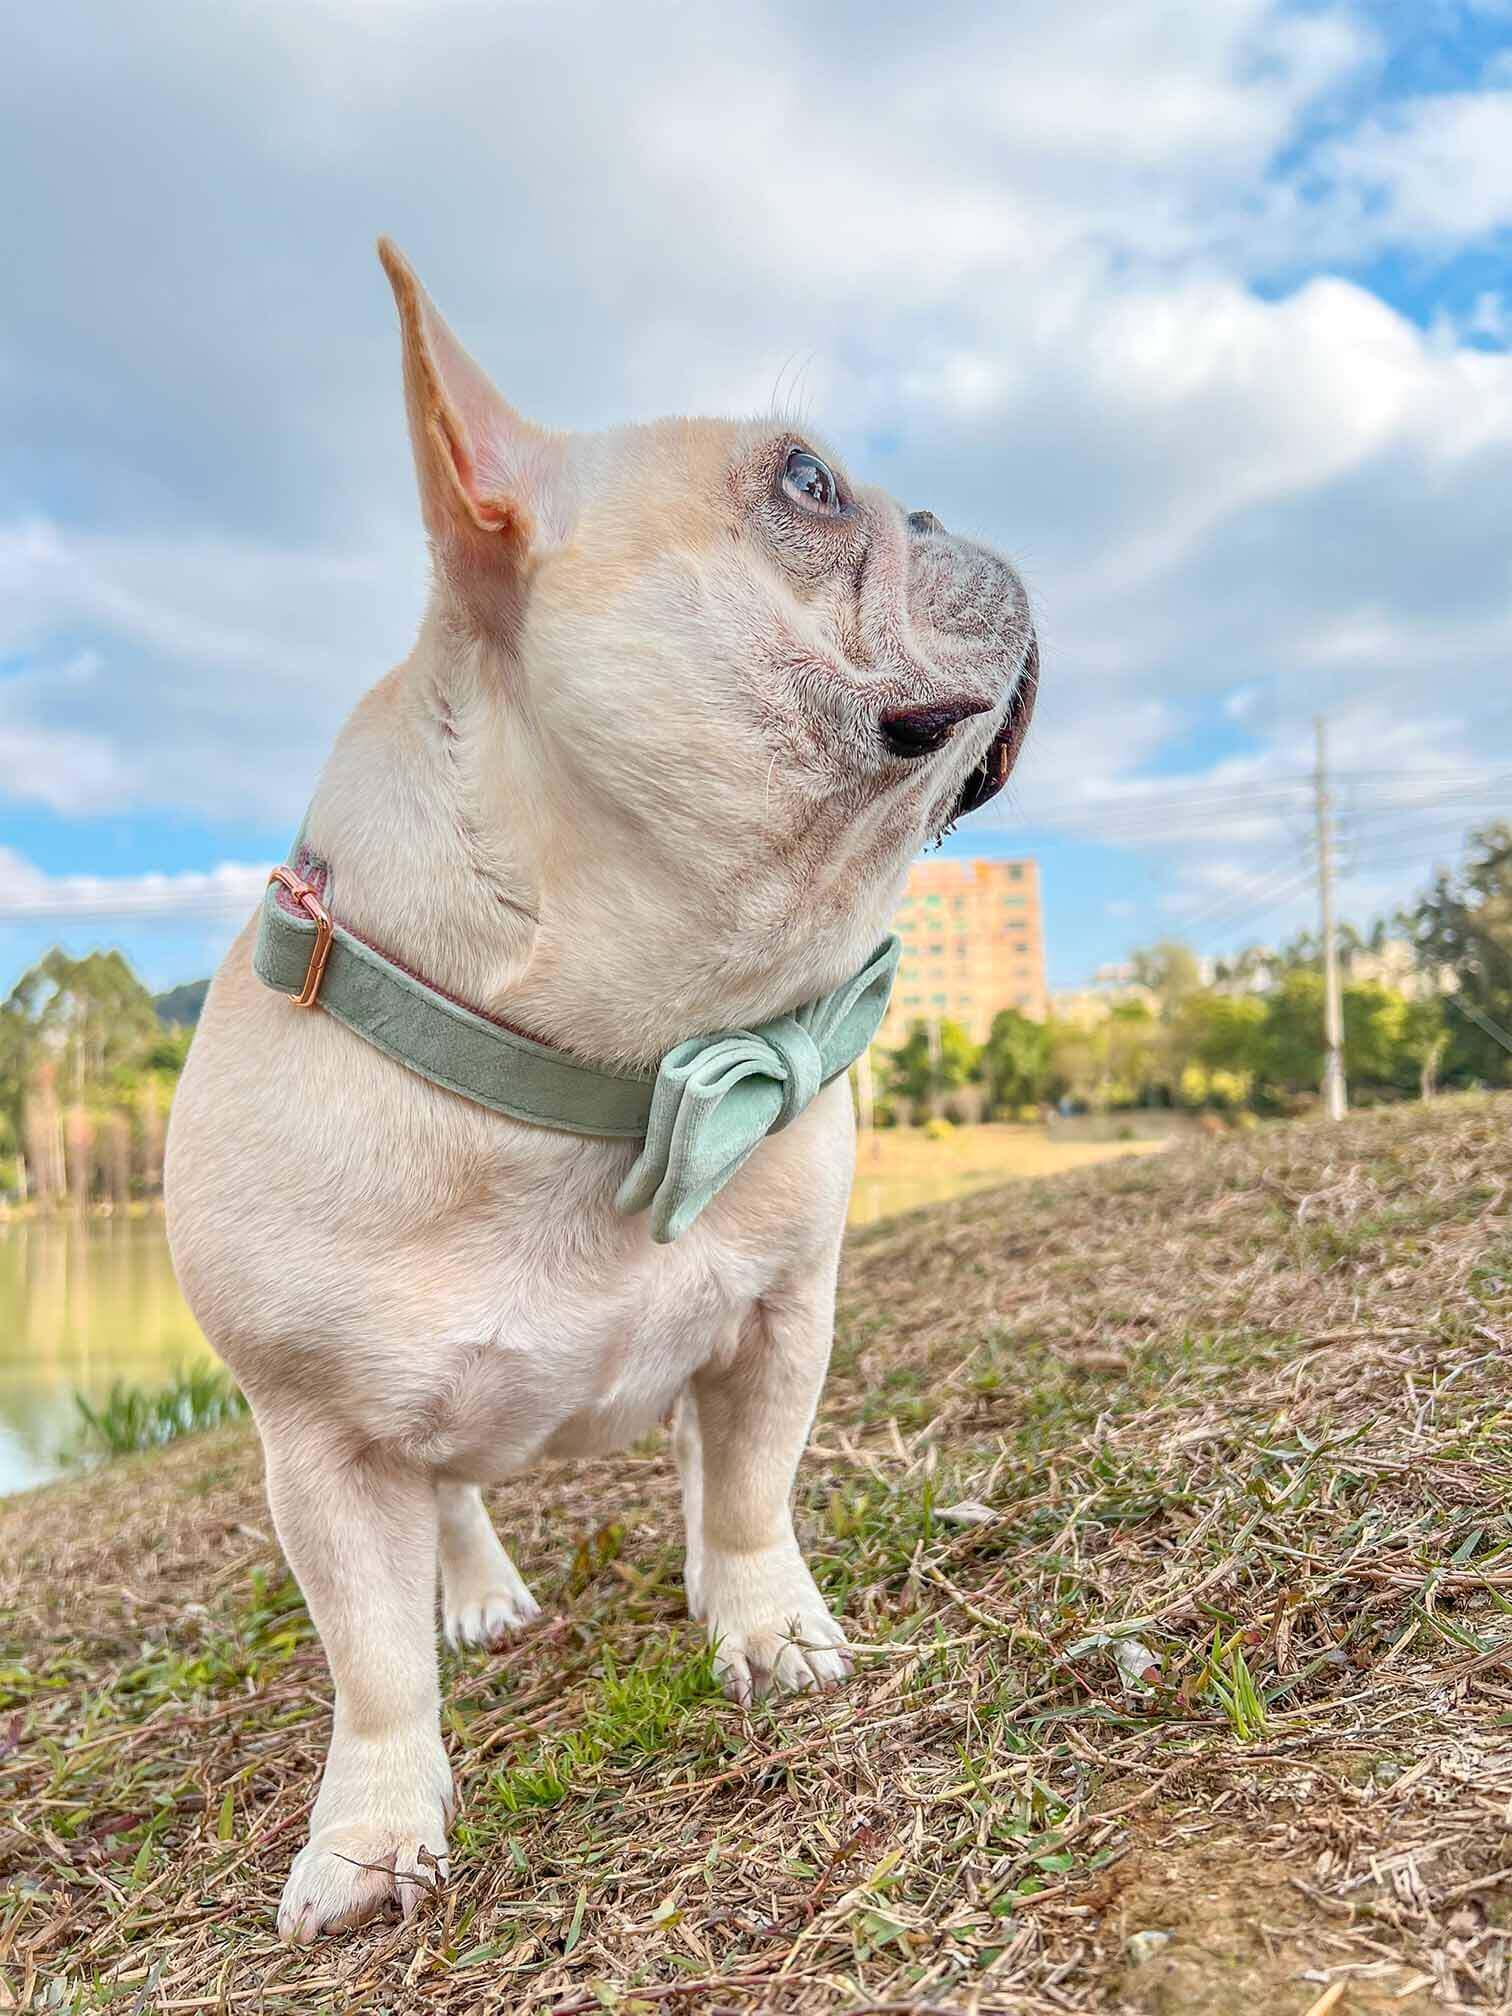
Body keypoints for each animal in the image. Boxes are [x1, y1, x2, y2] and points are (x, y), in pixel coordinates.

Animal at [165, 239, 1040, 1951]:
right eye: (811, 481)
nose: (934, 511)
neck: (620, 1067)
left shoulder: (781, 1309)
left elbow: (756, 1482)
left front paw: (763, 1624)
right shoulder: (316, 1442)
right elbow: (372, 1663)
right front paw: (368, 1838)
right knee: (448, 1514)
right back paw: (482, 1595)